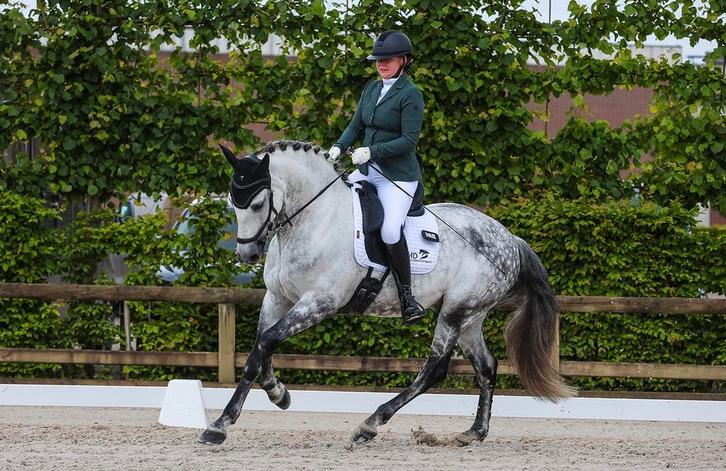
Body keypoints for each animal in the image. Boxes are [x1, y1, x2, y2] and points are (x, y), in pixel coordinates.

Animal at [198, 140, 574, 446]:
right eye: (233, 202)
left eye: (258, 203)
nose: (247, 255)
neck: (314, 219)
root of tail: (510, 239)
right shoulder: (277, 298)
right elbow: (259, 351)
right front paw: (274, 396)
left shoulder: (319, 303)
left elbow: (264, 345)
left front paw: (225, 422)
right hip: (471, 316)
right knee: (486, 366)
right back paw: (473, 432)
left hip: (456, 311)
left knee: (434, 370)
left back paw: (370, 424)